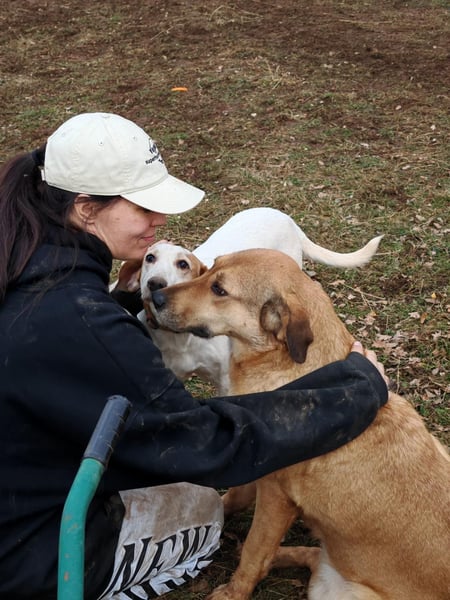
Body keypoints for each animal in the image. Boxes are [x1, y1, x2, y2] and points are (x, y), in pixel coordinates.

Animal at [138, 207, 383, 394]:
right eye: (149, 258)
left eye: (183, 264)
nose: (156, 288)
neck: (178, 339)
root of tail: (286, 218)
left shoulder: (226, 380)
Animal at [149, 248, 450, 600]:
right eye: (210, 268)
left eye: (219, 290)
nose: (155, 297)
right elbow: (235, 498)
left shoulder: (276, 498)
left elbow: (254, 550)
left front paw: (233, 592)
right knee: (316, 557)